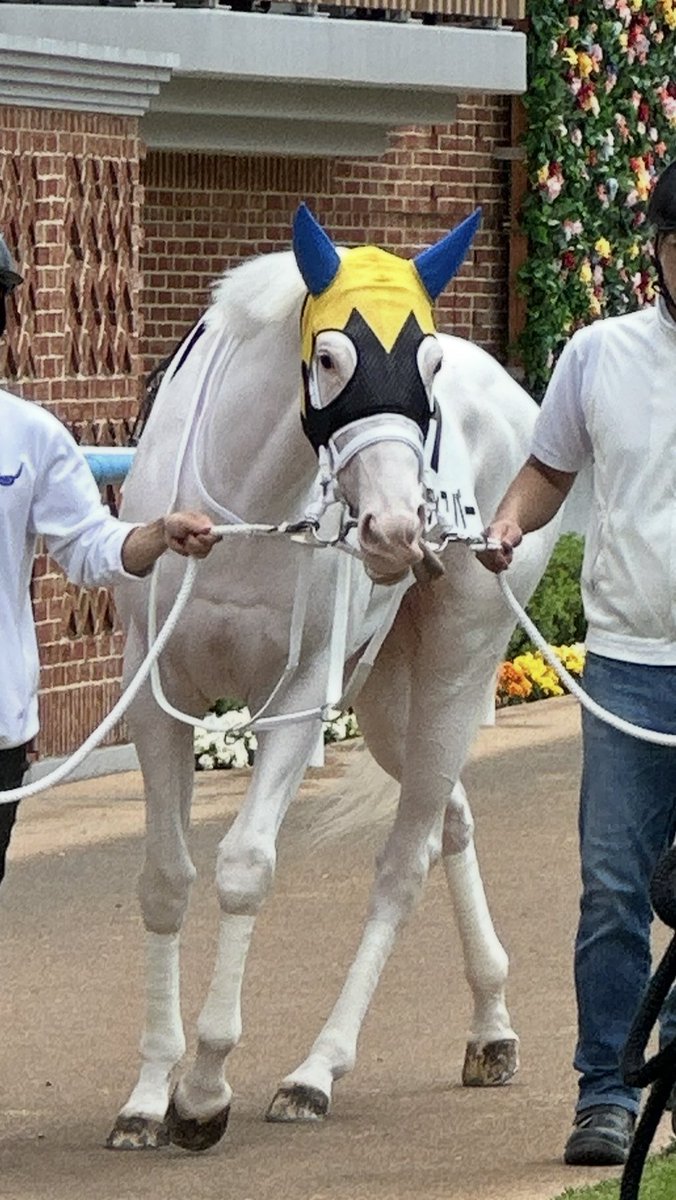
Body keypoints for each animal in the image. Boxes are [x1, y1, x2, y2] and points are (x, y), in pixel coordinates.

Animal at [108, 205, 560, 1151]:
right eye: (328, 358)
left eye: (427, 363)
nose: (395, 528)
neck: (243, 515)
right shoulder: (156, 691)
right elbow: (165, 879)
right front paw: (148, 1093)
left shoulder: (298, 695)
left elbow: (245, 865)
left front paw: (203, 1088)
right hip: (387, 697)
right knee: (451, 818)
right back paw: (490, 1024)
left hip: (456, 662)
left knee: (405, 860)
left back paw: (317, 1071)